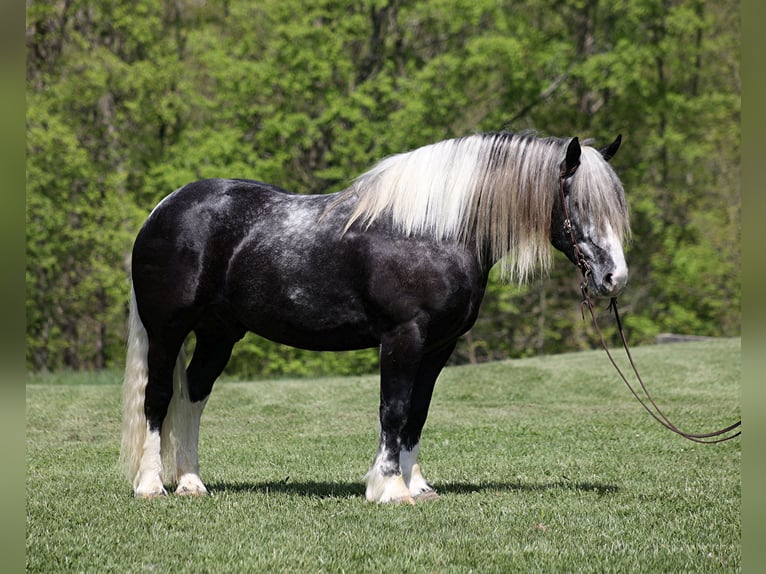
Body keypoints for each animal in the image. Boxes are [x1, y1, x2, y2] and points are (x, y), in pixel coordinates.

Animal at [120, 130, 632, 504]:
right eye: (579, 204)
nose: (614, 278)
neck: (431, 231)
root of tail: (164, 208)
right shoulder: (404, 337)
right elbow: (394, 408)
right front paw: (389, 488)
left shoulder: (438, 346)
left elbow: (417, 414)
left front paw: (418, 485)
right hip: (167, 330)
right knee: (159, 397)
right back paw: (151, 486)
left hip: (218, 333)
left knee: (193, 394)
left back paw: (191, 483)